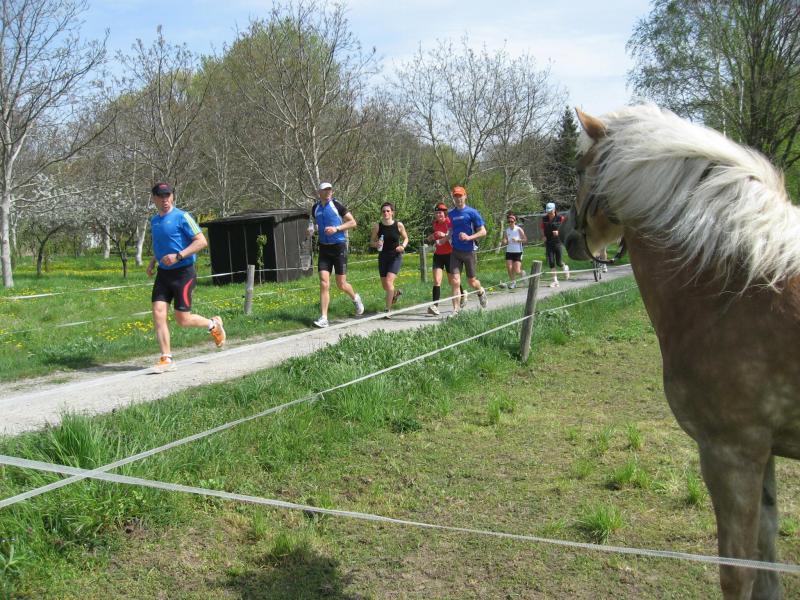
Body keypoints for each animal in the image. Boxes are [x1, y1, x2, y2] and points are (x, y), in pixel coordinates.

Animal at [562, 104, 800, 600]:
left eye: (578, 168)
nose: (566, 234)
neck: (741, 285)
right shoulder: (762, 450)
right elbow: (768, 556)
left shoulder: (731, 452)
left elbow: (738, 570)